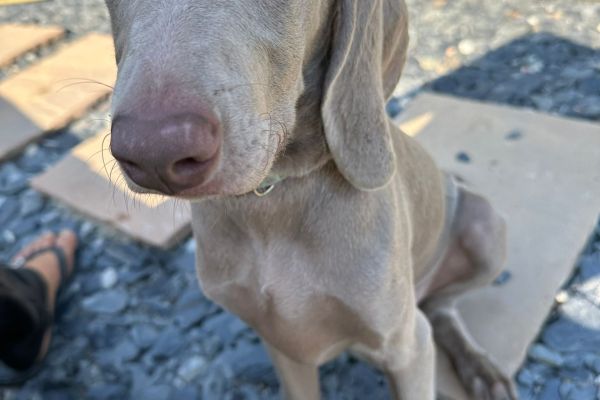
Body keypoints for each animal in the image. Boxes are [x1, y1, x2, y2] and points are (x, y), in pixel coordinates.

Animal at [106, 1, 516, 398]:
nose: (152, 151)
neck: (274, 198)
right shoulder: (282, 341)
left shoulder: (407, 349)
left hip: (486, 230)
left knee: (441, 307)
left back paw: (479, 367)